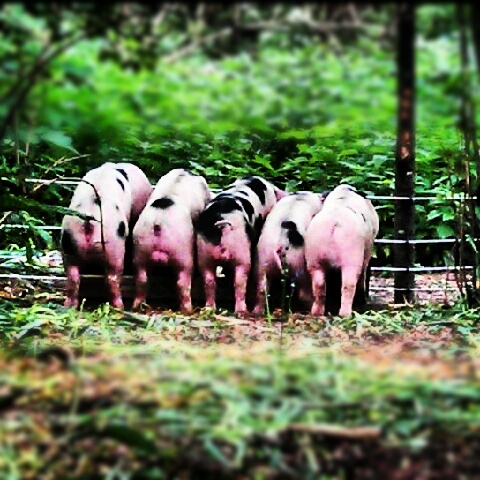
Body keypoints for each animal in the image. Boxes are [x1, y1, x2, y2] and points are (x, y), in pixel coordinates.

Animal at [61, 163, 135, 310]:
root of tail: (89, 215)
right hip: (113, 243)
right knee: (112, 276)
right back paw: (119, 307)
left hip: (70, 239)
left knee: (72, 275)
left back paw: (69, 306)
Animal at [132, 170, 213, 316]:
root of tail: (158, 223)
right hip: (182, 251)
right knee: (182, 281)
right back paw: (188, 310)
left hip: (140, 248)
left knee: (142, 278)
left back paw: (138, 307)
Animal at [194, 176, 284, 316]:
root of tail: (221, 225)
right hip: (241, 252)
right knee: (240, 281)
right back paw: (242, 311)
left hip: (204, 253)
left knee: (208, 280)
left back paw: (209, 309)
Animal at [304, 184, 378, 318]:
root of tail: (334, 222)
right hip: (351, 256)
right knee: (348, 285)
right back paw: (346, 314)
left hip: (314, 257)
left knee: (319, 284)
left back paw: (317, 313)